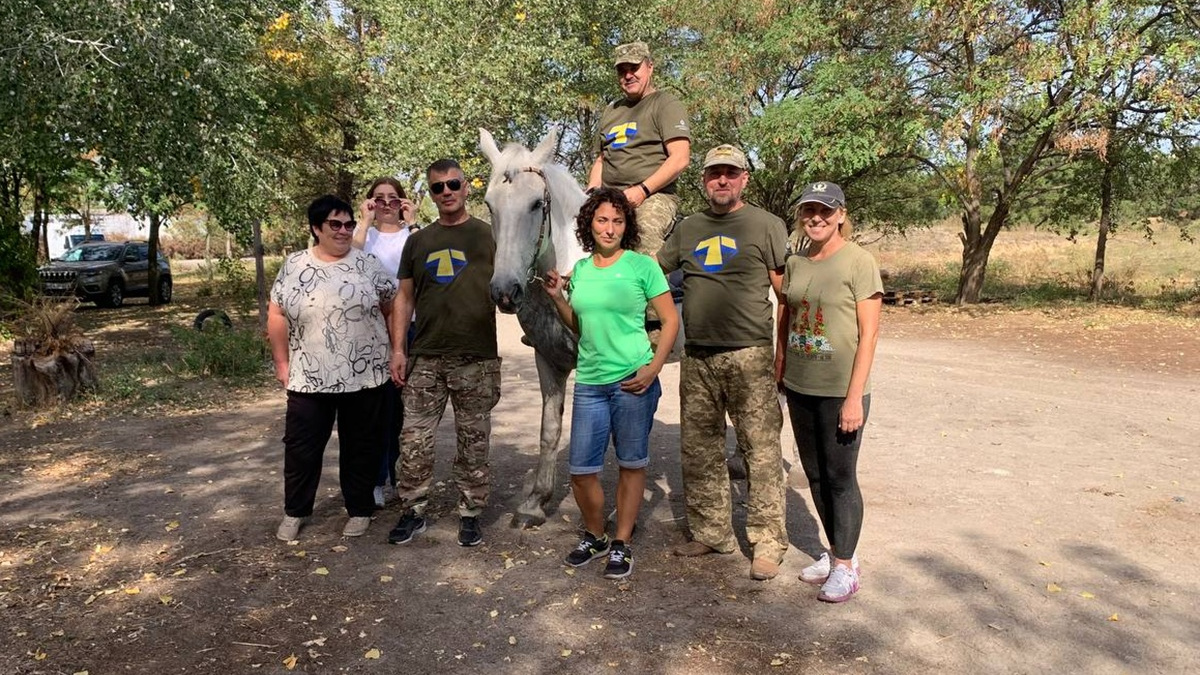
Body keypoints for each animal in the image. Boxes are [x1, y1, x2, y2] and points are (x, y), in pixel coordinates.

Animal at [480, 126, 588, 526]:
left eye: (536, 204)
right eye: (489, 205)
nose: (505, 290)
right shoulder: (548, 358)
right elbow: (549, 430)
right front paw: (536, 501)